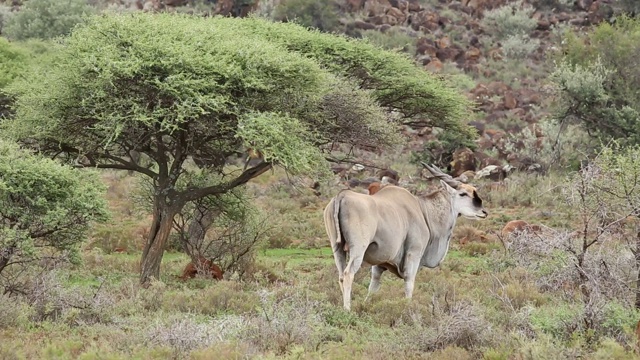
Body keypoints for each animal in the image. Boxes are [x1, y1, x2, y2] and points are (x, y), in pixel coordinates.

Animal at [324, 163, 490, 310]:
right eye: (463, 194)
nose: (484, 212)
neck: (423, 210)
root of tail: (342, 196)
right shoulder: (413, 254)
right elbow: (409, 283)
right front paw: (408, 309)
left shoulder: (380, 263)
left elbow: (373, 286)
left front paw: (366, 305)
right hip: (358, 249)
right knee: (348, 275)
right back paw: (347, 309)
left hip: (337, 248)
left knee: (340, 275)